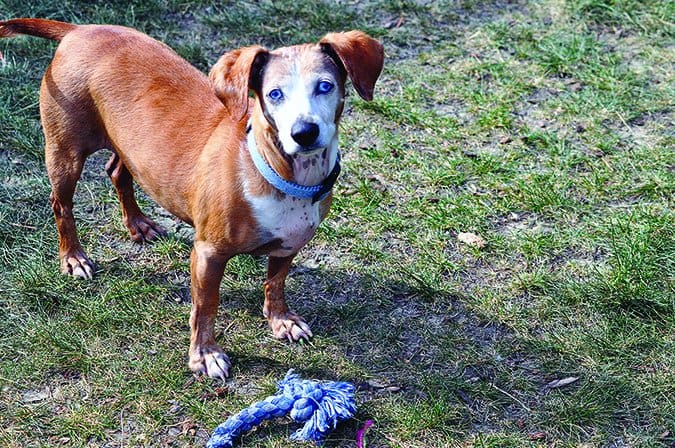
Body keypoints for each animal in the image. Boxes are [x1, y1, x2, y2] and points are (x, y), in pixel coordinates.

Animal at [0, 18, 386, 378]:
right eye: (274, 94)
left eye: (325, 86)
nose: (304, 133)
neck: (280, 175)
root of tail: (81, 30)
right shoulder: (208, 255)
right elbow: (205, 307)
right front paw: (205, 355)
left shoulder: (289, 244)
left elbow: (274, 283)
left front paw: (281, 320)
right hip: (65, 153)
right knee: (61, 205)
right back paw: (74, 258)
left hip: (131, 149)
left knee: (117, 172)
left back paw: (138, 224)